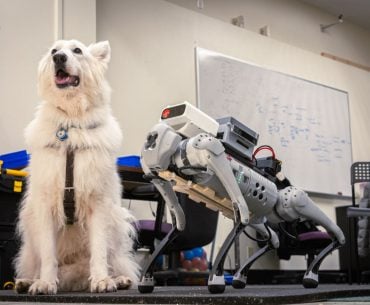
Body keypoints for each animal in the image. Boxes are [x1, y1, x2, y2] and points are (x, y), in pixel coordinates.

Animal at [13, 39, 139, 294]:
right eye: (54, 51)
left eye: (77, 51)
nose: (59, 58)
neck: (70, 125)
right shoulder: (45, 204)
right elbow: (48, 255)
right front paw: (45, 283)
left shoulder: (98, 203)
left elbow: (99, 251)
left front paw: (101, 280)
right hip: (29, 232)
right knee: (36, 262)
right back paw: (27, 281)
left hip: (117, 222)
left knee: (115, 260)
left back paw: (119, 279)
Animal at [138, 101, 344, 292]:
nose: (150, 140)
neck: (181, 147)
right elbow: (179, 223)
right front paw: (146, 279)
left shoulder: (210, 148)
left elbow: (242, 215)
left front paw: (216, 279)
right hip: (260, 217)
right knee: (273, 239)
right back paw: (241, 276)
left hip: (282, 203)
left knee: (298, 201)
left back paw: (318, 266)